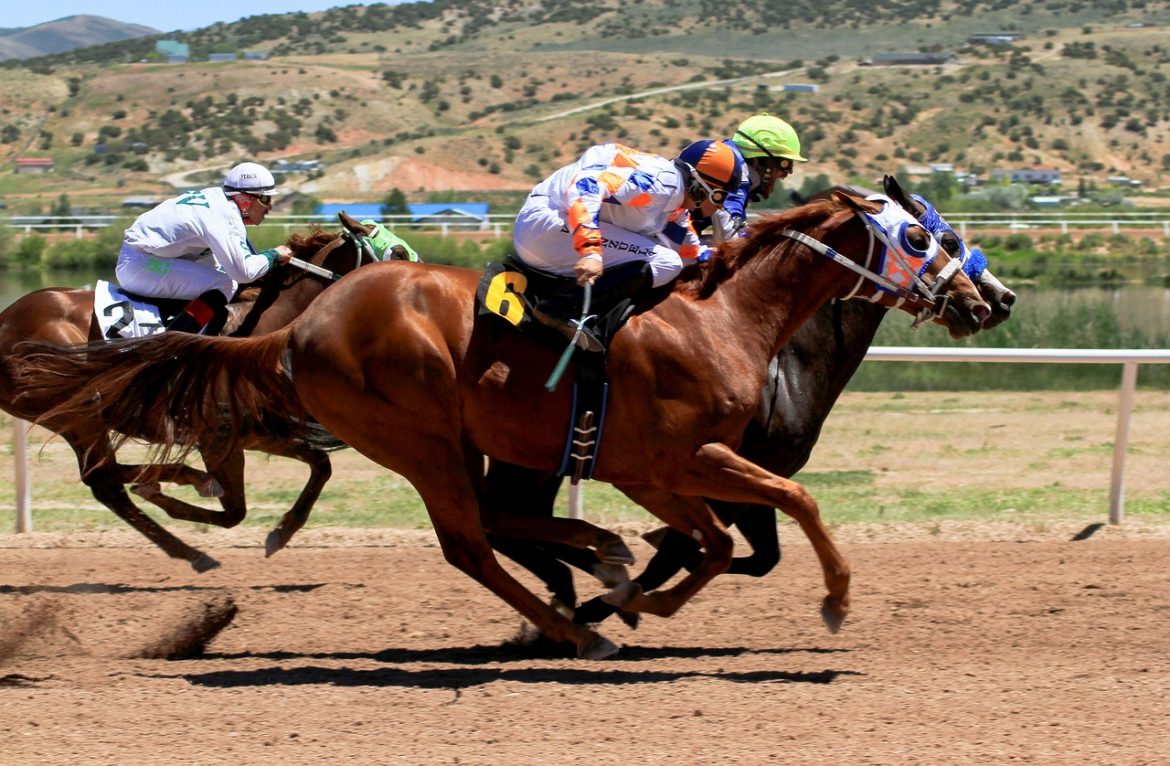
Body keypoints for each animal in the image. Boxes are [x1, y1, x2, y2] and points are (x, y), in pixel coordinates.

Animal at [16, 191, 987, 659]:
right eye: (920, 237)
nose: (983, 301)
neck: (718, 315)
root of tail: (299, 326)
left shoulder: (654, 467)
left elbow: (713, 542)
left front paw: (632, 587)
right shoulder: (687, 455)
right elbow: (791, 503)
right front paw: (835, 601)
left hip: (466, 443)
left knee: (498, 526)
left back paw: (593, 571)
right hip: (422, 439)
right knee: (471, 544)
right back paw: (580, 627)